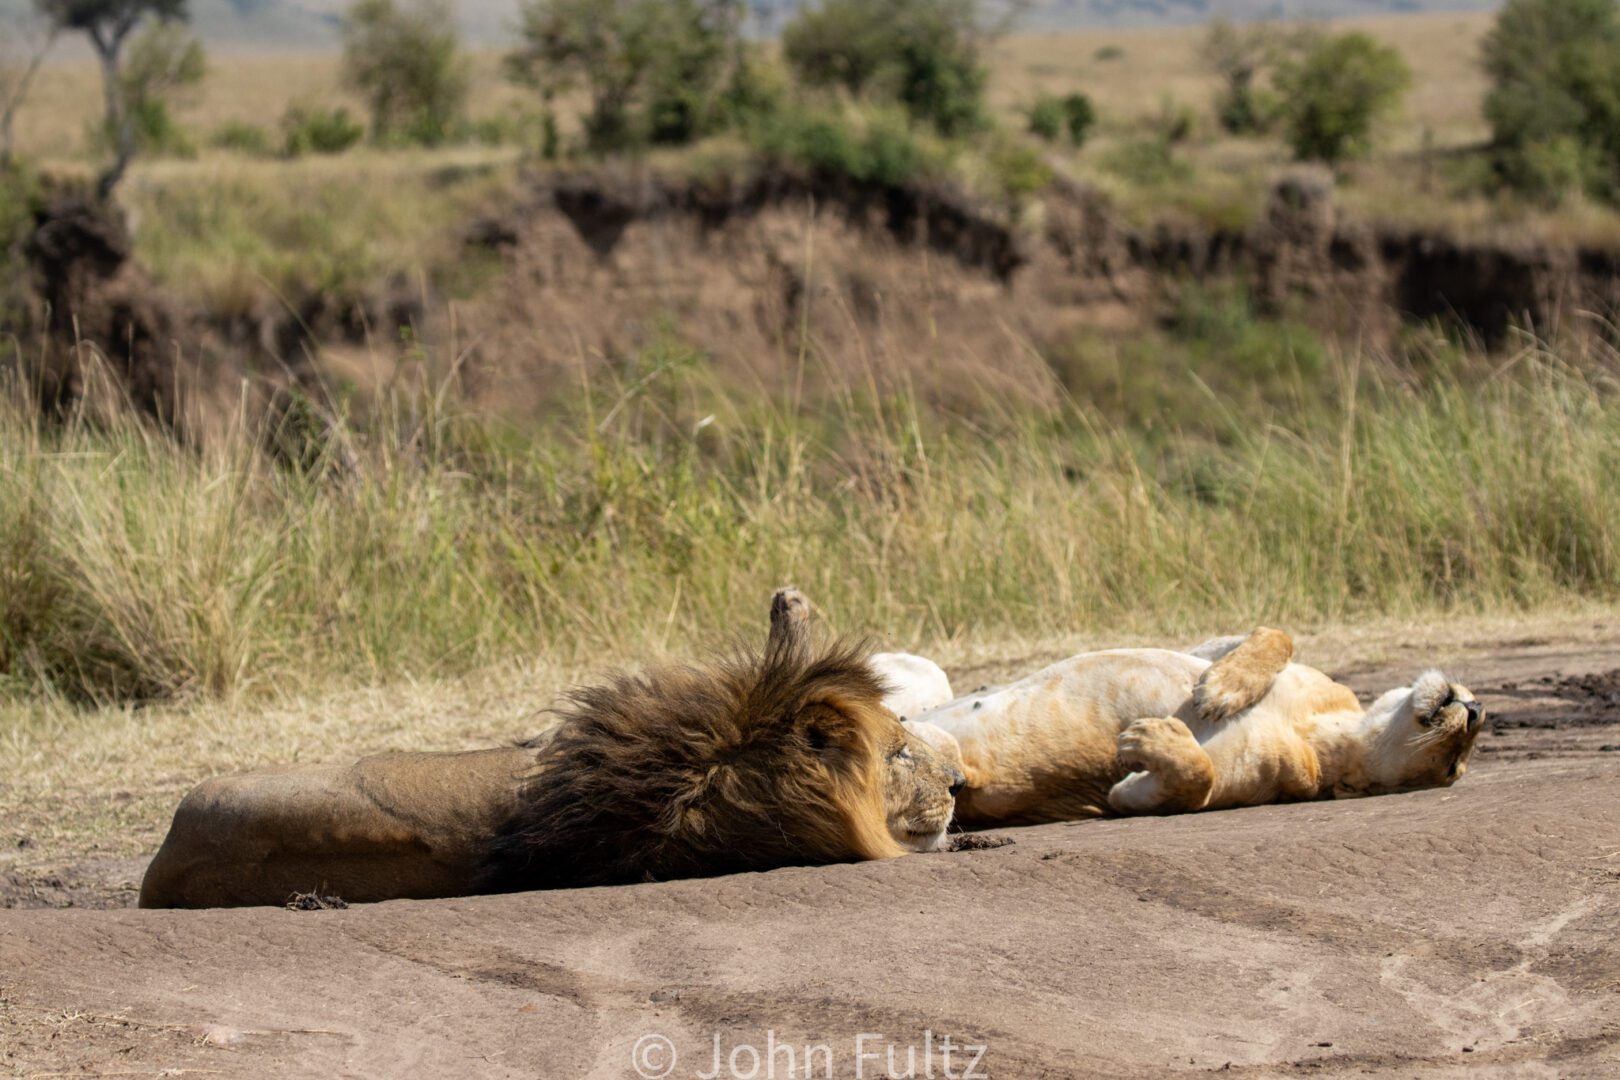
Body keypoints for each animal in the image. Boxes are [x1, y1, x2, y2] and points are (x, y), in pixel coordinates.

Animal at [894, 628, 1483, 822]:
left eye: (1453, 766)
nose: (1476, 713)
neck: (1323, 727)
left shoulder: (1260, 780)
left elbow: (1194, 779)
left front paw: (1146, 739)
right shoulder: (1210, 647)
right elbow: (1275, 634)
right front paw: (1220, 690)